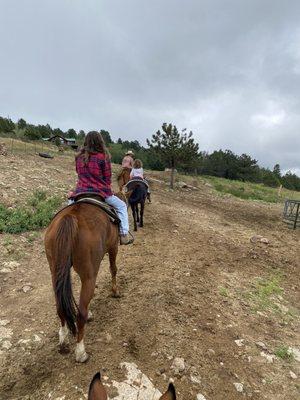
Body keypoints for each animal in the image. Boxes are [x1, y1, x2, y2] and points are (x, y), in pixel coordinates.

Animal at [44, 202, 119, 360]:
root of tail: (70, 217)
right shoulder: (113, 246)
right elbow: (113, 268)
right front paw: (115, 291)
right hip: (89, 275)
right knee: (80, 314)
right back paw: (80, 352)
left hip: (55, 272)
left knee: (60, 308)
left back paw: (63, 340)